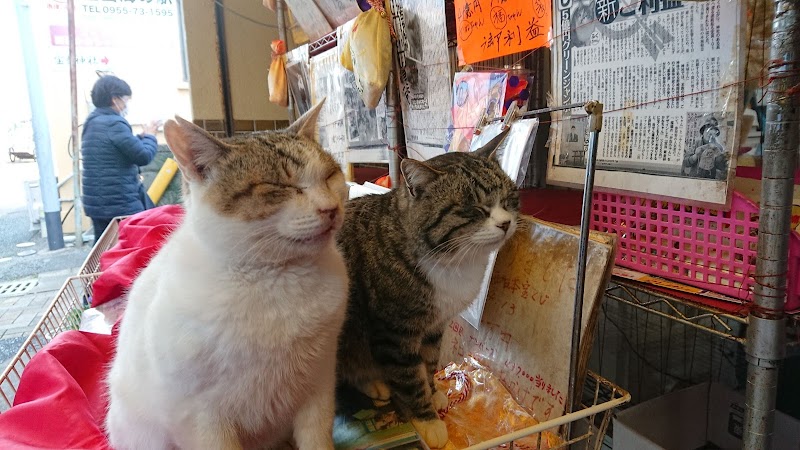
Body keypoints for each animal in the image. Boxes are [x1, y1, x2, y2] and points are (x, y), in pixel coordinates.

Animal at [104, 102, 348, 450]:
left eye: (330, 175)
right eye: (278, 187)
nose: (331, 209)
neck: (275, 277)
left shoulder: (319, 385)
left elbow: (317, 438)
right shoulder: (203, 418)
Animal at [336, 129, 520, 446]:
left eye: (509, 199)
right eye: (475, 209)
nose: (506, 223)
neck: (452, 261)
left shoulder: (436, 324)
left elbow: (429, 361)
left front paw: (433, 393)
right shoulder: (395, 333)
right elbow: (410, 377)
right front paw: (427, 420)